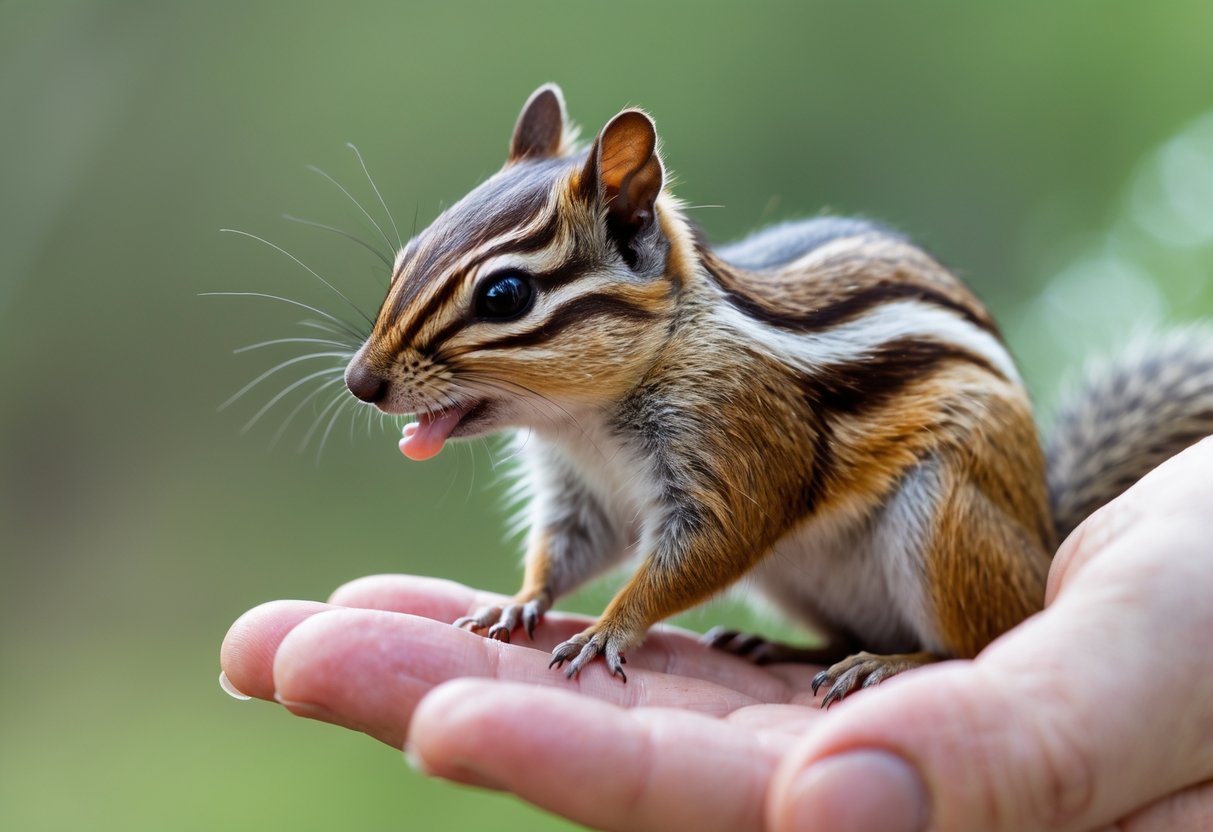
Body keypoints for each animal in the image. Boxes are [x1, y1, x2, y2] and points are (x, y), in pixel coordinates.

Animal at [342, 84, 1213, 705]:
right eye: (407, 255)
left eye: (505, 295)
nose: (361, 382)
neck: (584, 421)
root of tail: (1042, 538)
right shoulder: (579, 490)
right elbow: (566, 549)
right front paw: (516, 602)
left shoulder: (740, 447)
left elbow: (704, 550)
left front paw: (607, 630)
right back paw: (784, 647)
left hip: (944, 518)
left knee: (974, 640)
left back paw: (886, 663)